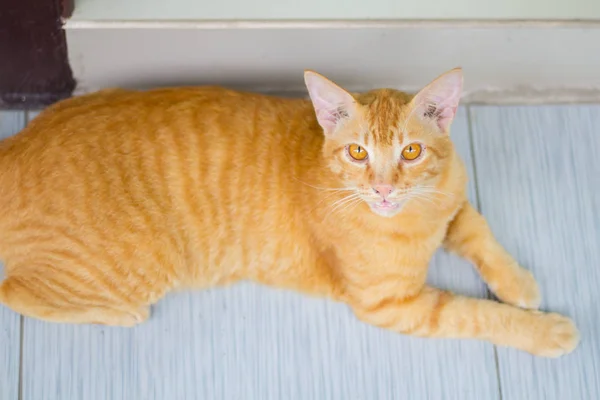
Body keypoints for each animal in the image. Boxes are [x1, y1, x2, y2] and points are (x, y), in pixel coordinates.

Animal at [1, 68, 580, 356]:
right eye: (358, 153)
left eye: (411, 152)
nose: (383, 188)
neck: (414, 218)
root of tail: (17, 143)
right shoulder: (392, 306)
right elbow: (474, 314)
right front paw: (547, 332)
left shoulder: (454, 204)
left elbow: (481, 233)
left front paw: (520, 282)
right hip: (133, 268)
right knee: (16, 291)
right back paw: (119, 314)